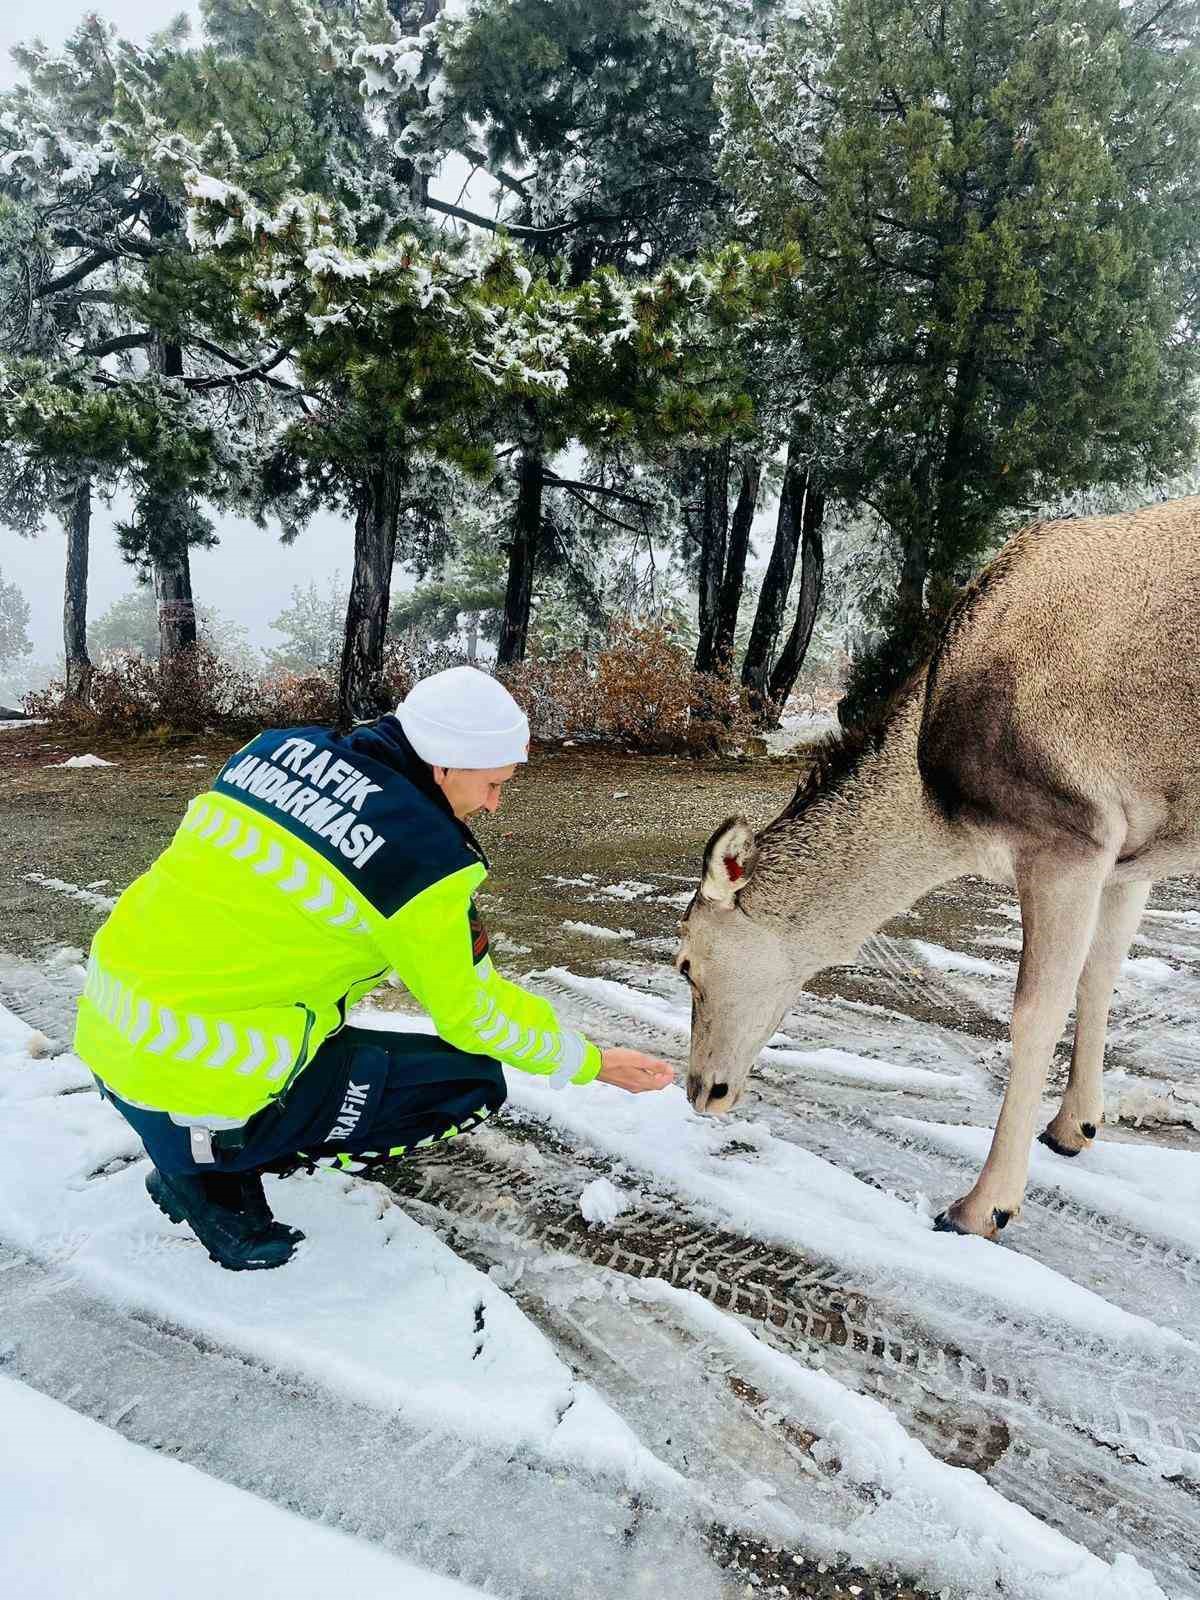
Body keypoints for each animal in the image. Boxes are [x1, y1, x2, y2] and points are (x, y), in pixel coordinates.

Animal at [678, 499, 1200, 1235]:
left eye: (686, 963)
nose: (701, 1090)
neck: (944, 813)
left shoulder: (1071, 832)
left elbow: (1035, 1010)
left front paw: (982, 1207)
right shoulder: (1132, 851)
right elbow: (1101, 977)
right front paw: (1073, 1128)